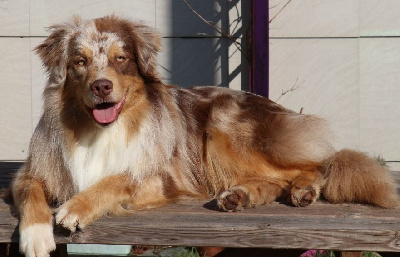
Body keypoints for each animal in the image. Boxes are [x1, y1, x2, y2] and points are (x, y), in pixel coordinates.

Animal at [10, 15, 398, 256]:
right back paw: (240, 196)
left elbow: (118, 178)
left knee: (318, 165)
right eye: (80, 62)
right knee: (276, 180)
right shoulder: (34, 170)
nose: (101, 85)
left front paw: (77, 206)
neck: (100, 129)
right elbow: (29, 190)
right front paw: (35, 235)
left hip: (222, 131)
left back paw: (303, 190)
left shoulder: (164, 177)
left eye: (121, 59)